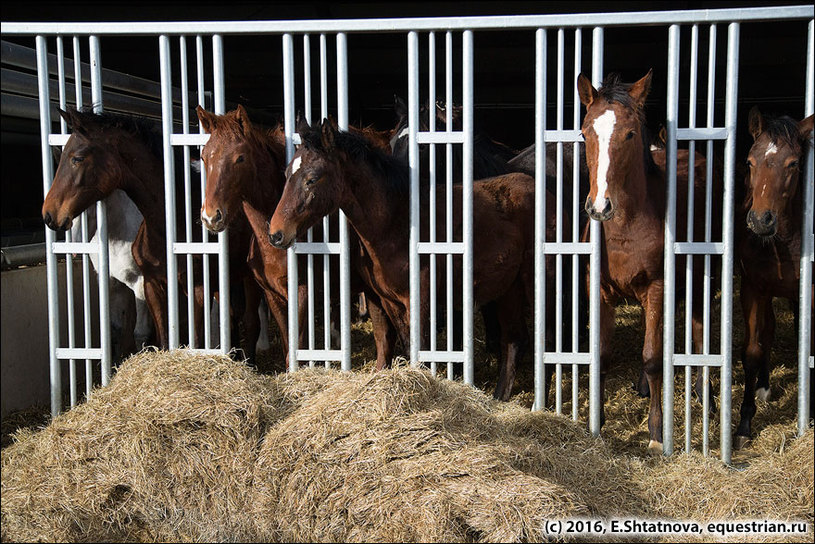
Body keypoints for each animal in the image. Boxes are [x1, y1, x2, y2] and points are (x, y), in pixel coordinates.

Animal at [41, 106, 262, 362]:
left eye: (77, 158)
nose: (49, 215)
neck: (171, 223)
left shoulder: (195, 287)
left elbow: (195, 339)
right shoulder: (152, 284)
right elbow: (161, 338)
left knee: (250, 321)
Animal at [199, 105, 400, 370]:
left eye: (240, 157)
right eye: (204, 157)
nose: (211, 216)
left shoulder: (302, 292)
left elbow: (299, 348)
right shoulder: (273, 295)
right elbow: (288, 345)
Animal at [268, 119, 560, 400]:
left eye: (312, 179)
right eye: (286, 174)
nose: (276, 234)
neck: (397, 223)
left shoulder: (420, 301)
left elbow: (421, 349)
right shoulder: (390, 302)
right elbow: (407, 347)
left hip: (538, 280)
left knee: (542, 339)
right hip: (508, 288)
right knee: (514, 340)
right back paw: (499, 398)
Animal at [576, 71, 716, 454]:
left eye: (629, 134)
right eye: (585, 132)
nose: (599, 207)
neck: (626, 227)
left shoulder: (658, 286)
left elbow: (654, 357)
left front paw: (655, 433)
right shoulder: (601, 290)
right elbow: (603, 355)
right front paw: (598, 422)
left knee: (700, 329)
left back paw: (706, 395)